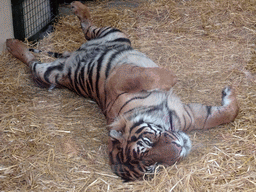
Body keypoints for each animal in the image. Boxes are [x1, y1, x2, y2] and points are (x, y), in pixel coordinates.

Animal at [5, 1, 239, 182]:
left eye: (148, 142)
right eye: (153, 165)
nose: (180, 147)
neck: (164, 120)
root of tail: (70, 55)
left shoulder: (120, 81)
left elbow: (226, 114)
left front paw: (222, 91)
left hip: (115, 33)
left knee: (88, 27)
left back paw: (75, 8)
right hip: (48, 74)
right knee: (31, 60)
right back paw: (13, 44)